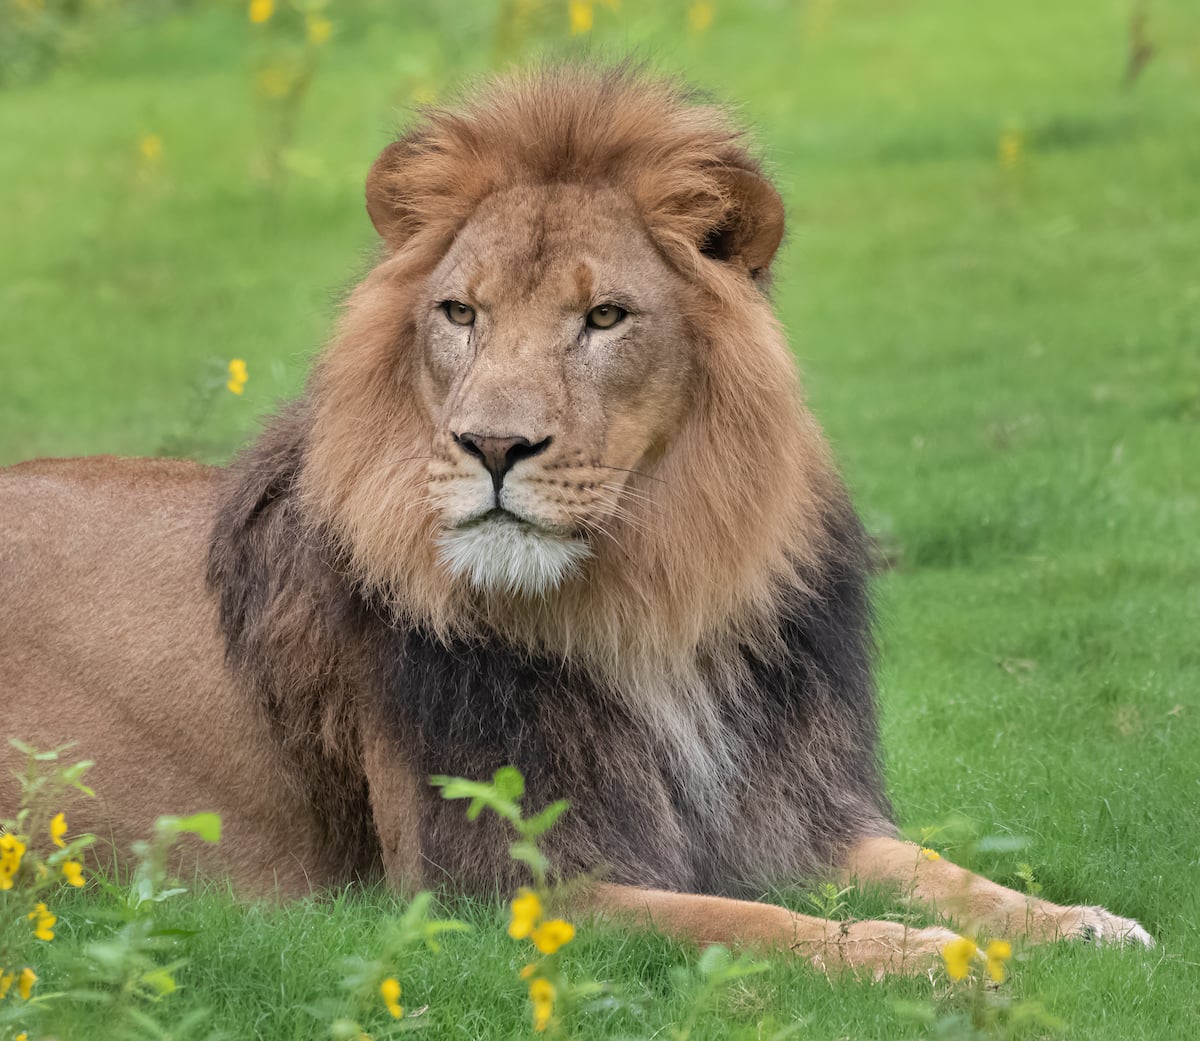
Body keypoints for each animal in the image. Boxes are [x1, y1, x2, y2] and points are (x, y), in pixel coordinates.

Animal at [0, 66, 1152, 973]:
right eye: (459, 313)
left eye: (604, 318)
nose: (491, 446)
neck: (651, 599)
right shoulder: (500, 885)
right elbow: (751, 923)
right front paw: (926, 959)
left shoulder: (795, 814)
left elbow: (938, 869)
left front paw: (1077, 923)